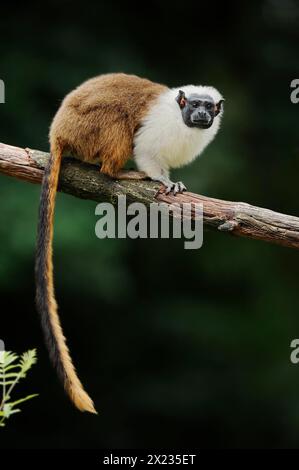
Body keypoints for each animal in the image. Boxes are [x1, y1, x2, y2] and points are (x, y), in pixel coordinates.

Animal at [35, 71, 224, 414]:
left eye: (208, 107)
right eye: (193, 105)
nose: (202, 115)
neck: (181, 121)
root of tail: (58, 132)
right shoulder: (158, 127)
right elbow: (146, 148)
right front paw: (161, 179)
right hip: (87, 128)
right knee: (119, 122)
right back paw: (117, 172)